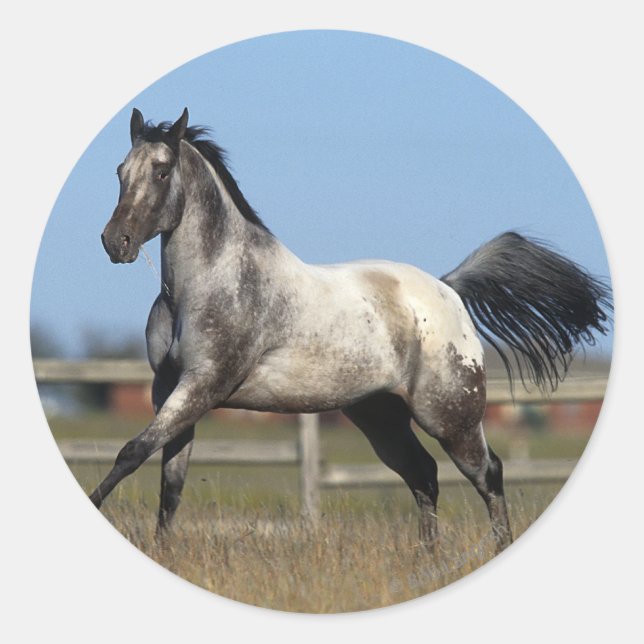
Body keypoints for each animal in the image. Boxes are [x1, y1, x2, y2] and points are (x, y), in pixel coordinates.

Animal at [94, 107, 612, 552]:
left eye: (162, 172)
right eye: (120, 171)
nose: (115, 243)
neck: (208, 284)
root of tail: (449, 289)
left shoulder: (203, 385)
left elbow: (132, 453)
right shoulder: (170, 390)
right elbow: (170, 482)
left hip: (450, 417)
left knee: (488, 474)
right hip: (379, 416)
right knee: (423, 475)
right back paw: (427, 560)